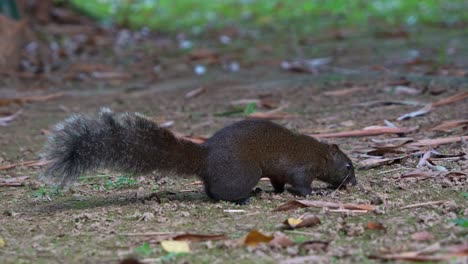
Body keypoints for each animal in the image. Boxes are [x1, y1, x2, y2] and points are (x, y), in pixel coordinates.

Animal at [44, 107, 358, 204]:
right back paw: (243, 197)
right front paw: (315, 193)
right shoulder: (301, 168)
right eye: (348, 166)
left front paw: (278, 191)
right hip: (244, 171)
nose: (354, 183)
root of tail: (205, 158)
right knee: (220, 192)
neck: (319, 154)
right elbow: (301, 185)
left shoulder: (280, 172)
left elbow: (279, 182)